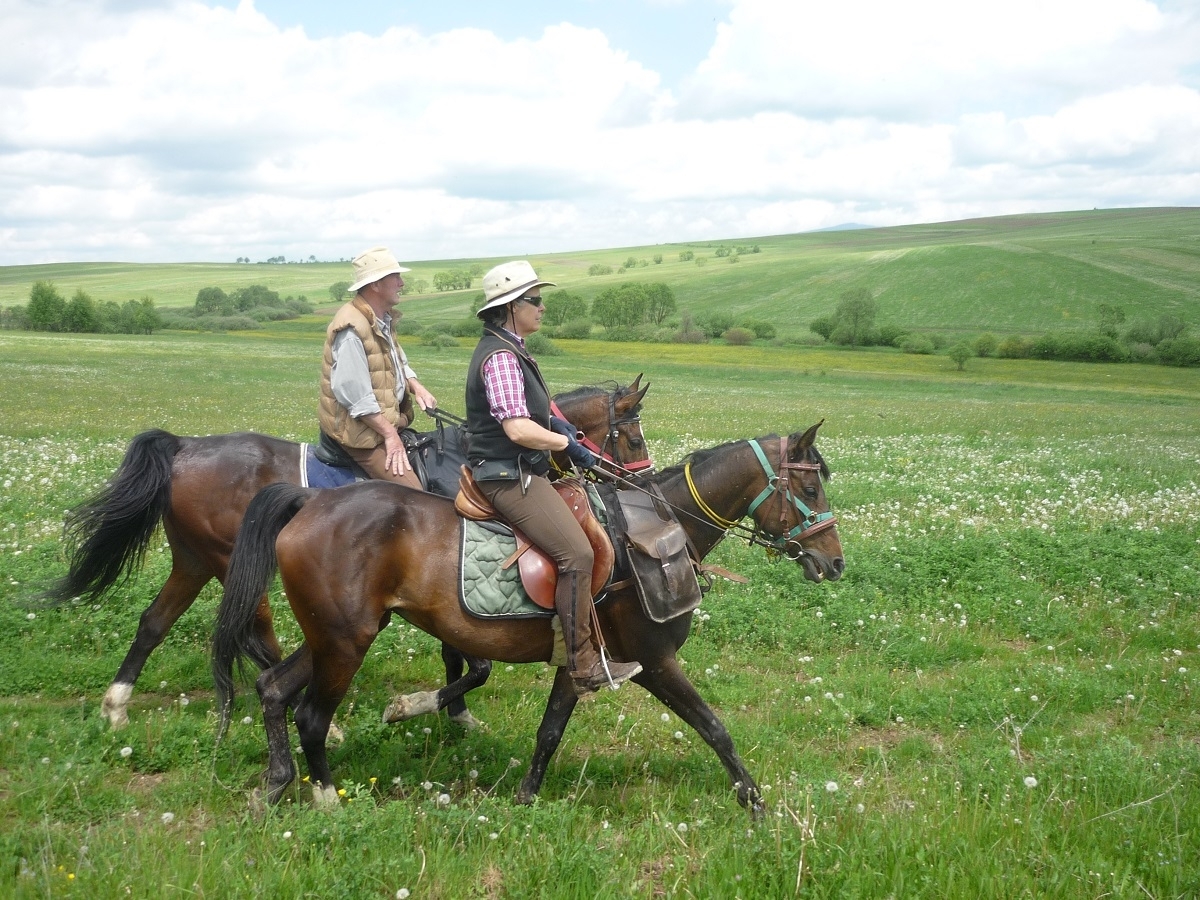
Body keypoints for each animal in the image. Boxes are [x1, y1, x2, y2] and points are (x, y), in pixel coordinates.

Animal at [44, 375, 652, 729]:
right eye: (633, 435)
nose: (638, 480)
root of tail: (184, 447)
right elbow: (468, 659)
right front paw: (443, 709)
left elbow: (459, 655)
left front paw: (452, 713)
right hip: (228, 564)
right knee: (255, 636)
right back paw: (312, 718)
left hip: (195, 562)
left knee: (155, 621)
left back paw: (116, 705)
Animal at [213, 422, 843, 812]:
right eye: (810, 486)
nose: (833, 562)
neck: (656, 533)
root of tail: (310, 501)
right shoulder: (655, 660)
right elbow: (714, 727)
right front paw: (754, 800)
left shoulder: (579, 661)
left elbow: (549, 732)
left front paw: (525, 797)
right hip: (346, 642)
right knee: (311, 716)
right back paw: (323, 796)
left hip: (333, 635)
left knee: (274, 689)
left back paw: (275, 784)